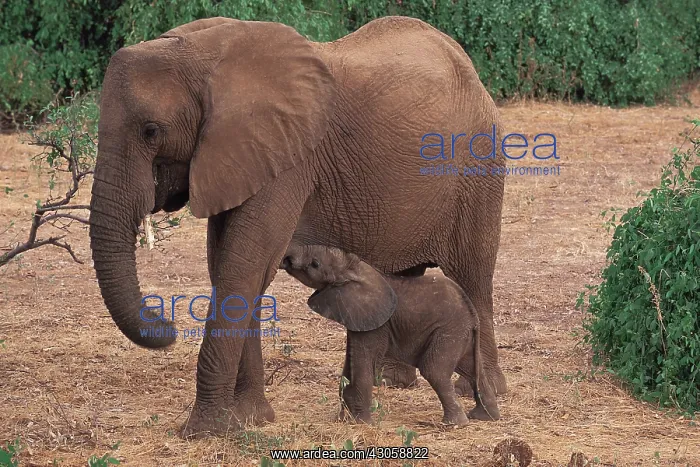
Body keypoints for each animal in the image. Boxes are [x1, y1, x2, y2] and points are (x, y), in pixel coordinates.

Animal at [281, 244, 501, 425]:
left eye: (315, 263)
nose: (285, 260)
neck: (356, 267)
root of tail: (470, 311)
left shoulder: (376, 325)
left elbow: (363, 363)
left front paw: (361, 423)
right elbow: (350, 363)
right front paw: (343, 420)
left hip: (448, 331)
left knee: (434, 370)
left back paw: (455, 424)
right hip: (460, 334)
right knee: (471, 369)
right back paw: (485, 417)